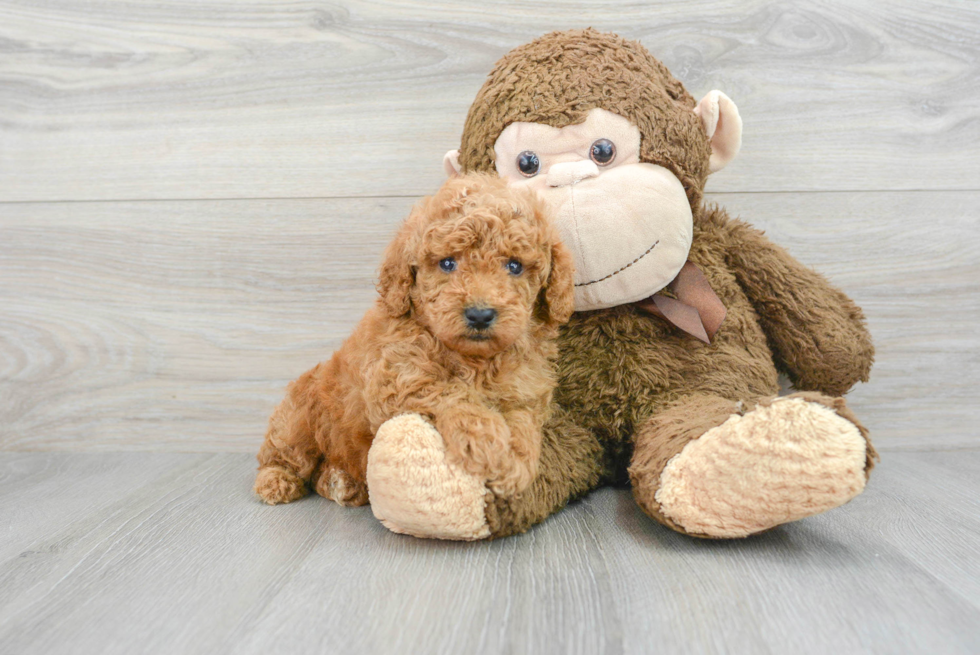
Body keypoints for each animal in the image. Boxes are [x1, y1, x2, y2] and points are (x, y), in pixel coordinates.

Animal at [255, 173, 576, 508]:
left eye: (514, 266)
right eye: (447, 263)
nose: (479, 315)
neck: (475, 361)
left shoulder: (526, 390)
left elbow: (523, 419)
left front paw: (515, 463)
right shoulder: (398, 378)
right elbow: (451, 392)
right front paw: (486, 440)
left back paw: (341, 482)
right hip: (298, 418)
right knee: (283, 454)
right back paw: (277, 481)